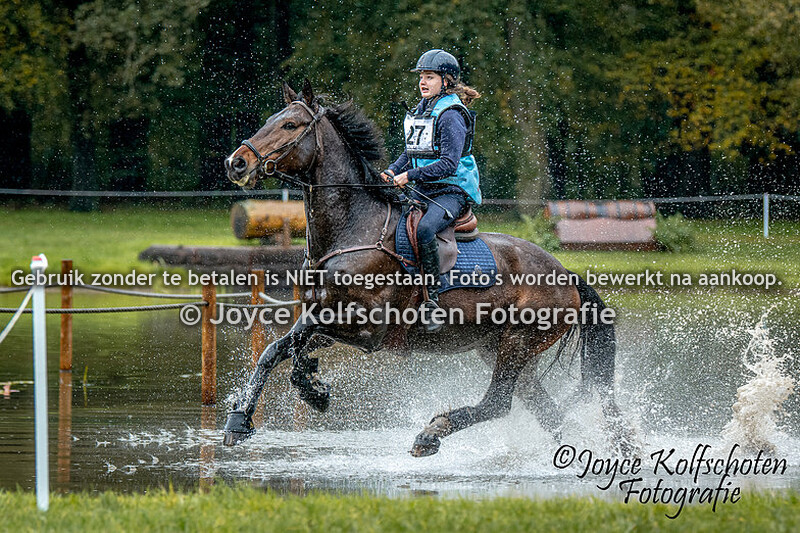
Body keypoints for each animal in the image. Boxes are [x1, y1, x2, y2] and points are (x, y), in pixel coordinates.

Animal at [222, 80, 636, 457]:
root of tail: (567, 276)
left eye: (290, 125)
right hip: (499, 347)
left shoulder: (367, 331)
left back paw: (432, 433)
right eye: (271, 120)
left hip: (517, 343)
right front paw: (242, 420)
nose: (237, 162)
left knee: (499, 402)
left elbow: (293, 350)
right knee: (547, 414)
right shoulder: (322, 315)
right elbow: (276, 349)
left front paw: (312, 389)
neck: (352, 228)